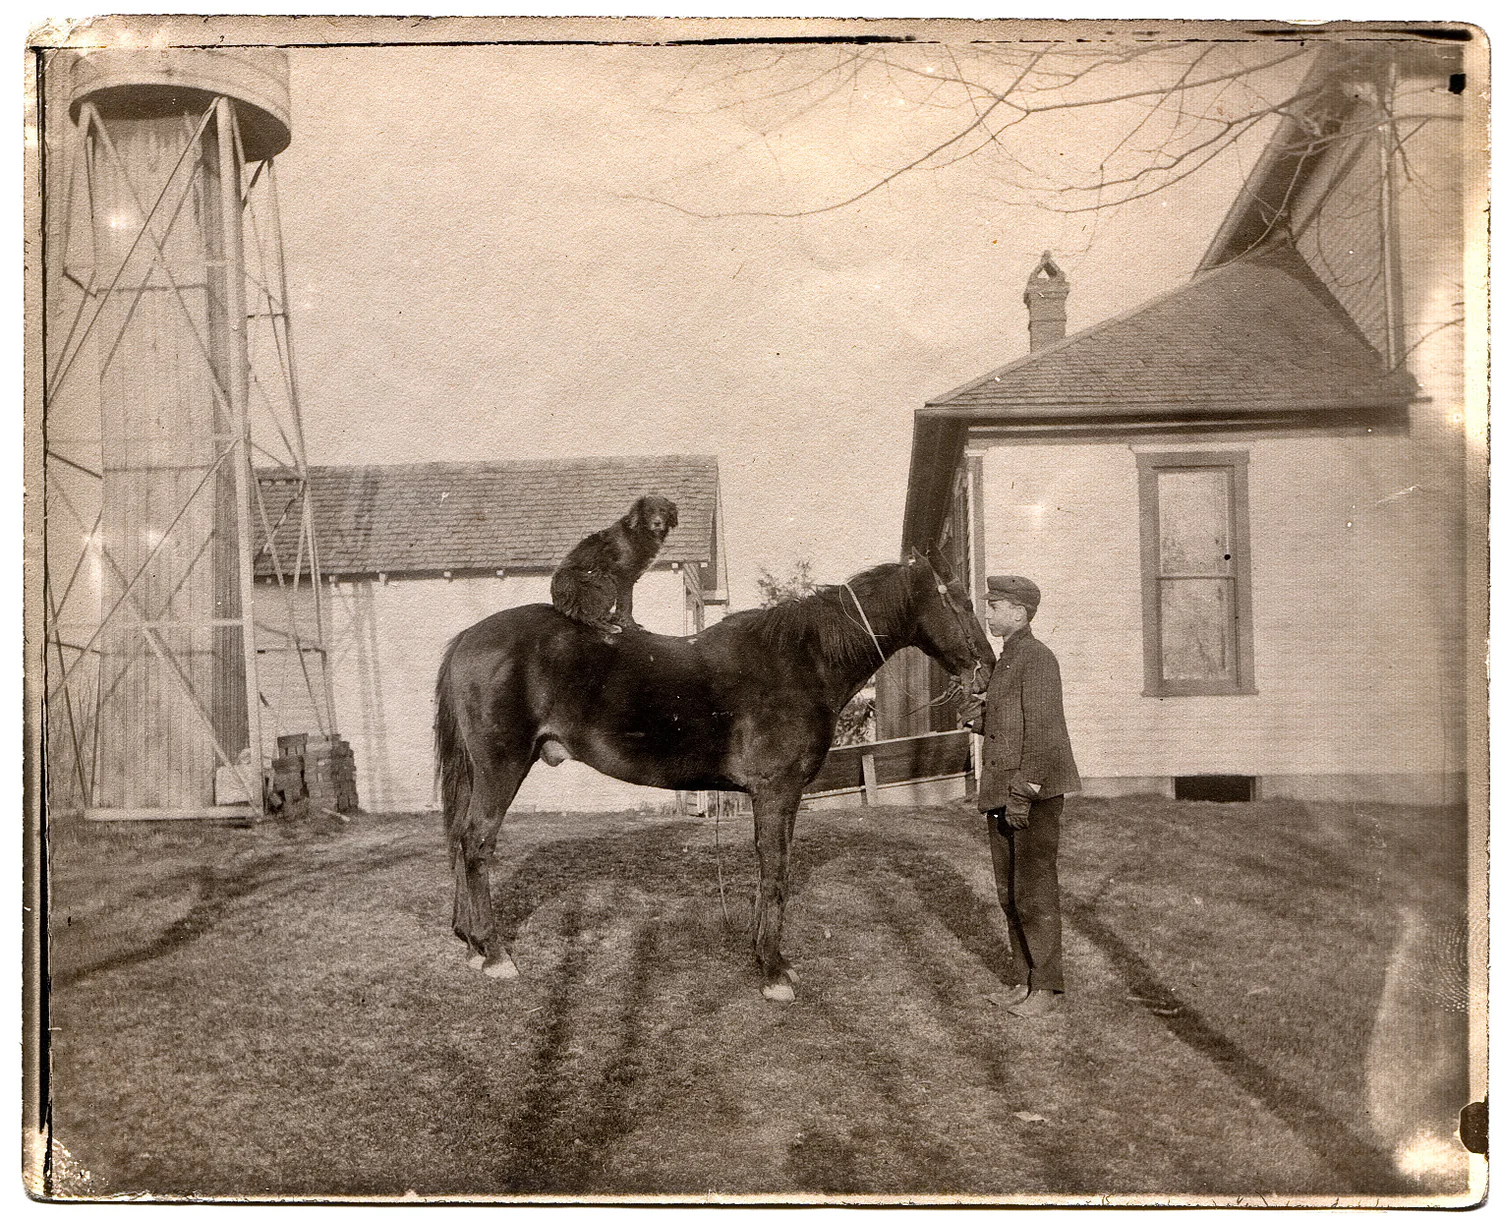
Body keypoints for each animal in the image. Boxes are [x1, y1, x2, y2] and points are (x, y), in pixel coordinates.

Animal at [435, 548, 996, 1001]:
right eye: (963, 602)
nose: (988, 670)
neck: (803, 662)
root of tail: (467, 638)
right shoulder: (775, 791)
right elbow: (775, 872)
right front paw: (772, 972)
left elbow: (770, 870)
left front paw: (767, 957)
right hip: (501, 767)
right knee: (477, 841)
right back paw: (495, 953)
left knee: (459, 837)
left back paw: (470, 942)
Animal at [552, 497, 681, 638]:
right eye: (648, 512)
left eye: (663, 511)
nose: (657, 523)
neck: (639, 532)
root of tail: (557, 600)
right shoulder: (622, 575)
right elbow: (627, 604)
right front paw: (631, 625)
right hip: (604, 582)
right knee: (587, 616)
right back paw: (610, 627)